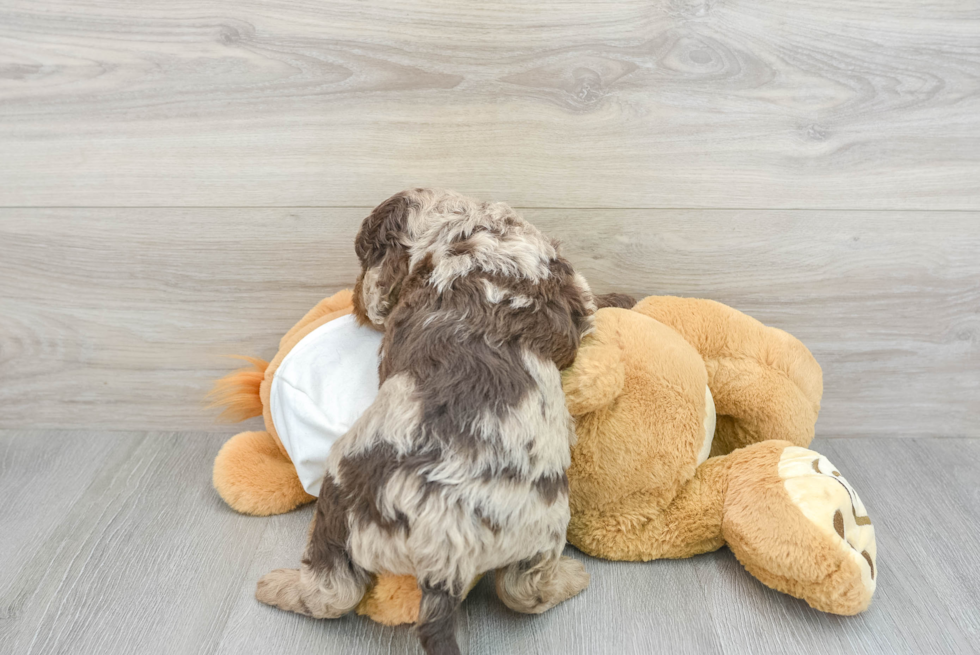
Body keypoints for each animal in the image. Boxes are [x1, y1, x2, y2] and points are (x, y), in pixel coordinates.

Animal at [260, 188, 612, 655]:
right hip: (542, 528)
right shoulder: (570, 290)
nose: (355, 302)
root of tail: (446, 553)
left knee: (334, 590)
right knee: (523, 590)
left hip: (339, 505)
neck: (471, 229)